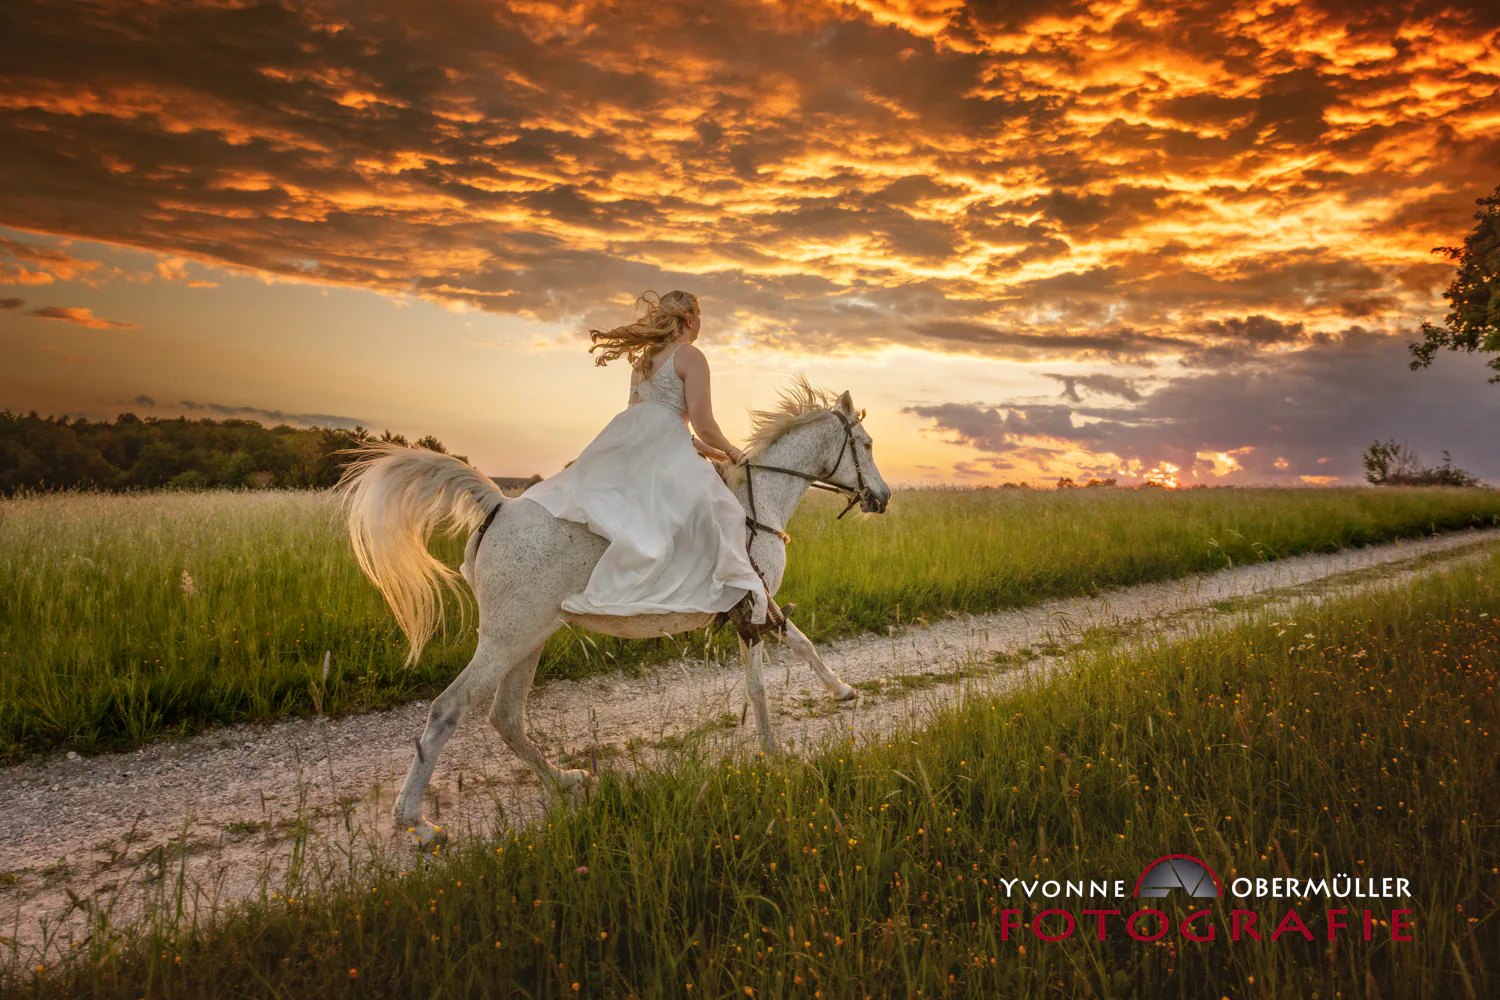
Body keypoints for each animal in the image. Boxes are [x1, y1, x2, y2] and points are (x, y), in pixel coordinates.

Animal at [334, 381, 891, 845]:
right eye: (865, 444)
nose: (883, 498)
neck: (761, 502)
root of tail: (499, 506)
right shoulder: (752, 606)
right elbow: (758, 686)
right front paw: (773, 753)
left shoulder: (762, 605)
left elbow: (803, 643)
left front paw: (843, 691)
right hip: (507, 638)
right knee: (447, 710)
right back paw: (417, 825)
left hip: (529, 637)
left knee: (506, 717)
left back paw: (564, 781)